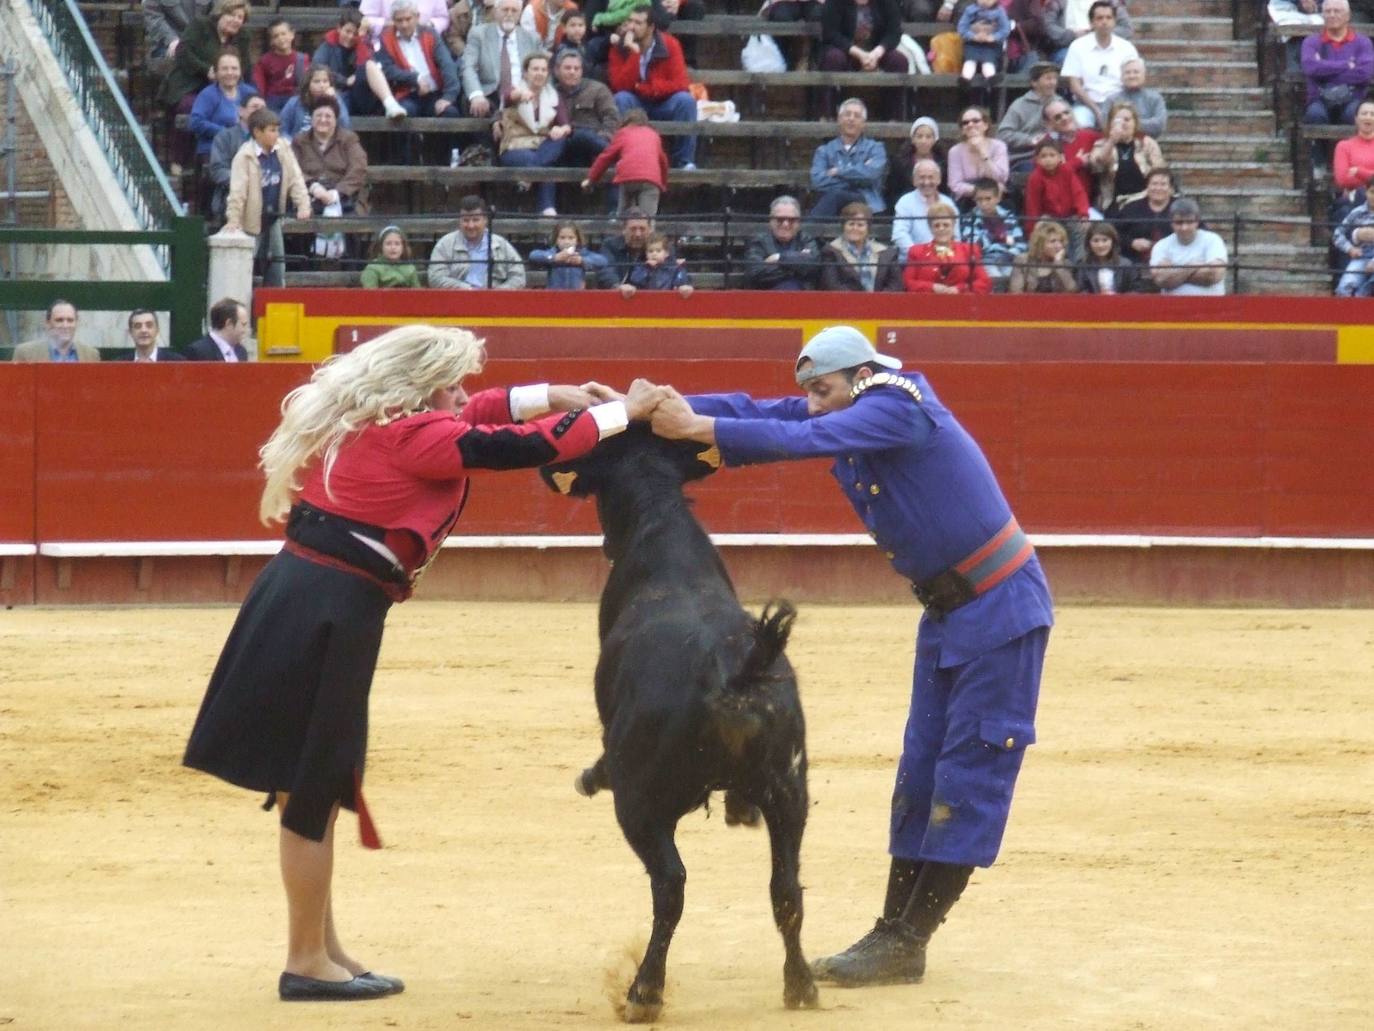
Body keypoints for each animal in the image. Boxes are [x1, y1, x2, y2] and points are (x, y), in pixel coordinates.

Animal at [535, 428, 813, 1028]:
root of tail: (733, 673)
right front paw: (739, 809)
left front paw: (592, 773)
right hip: (791, 793)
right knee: (786, 886)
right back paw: (801, 984)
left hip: (641, 806)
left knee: (670, 886)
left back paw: (644, 991)